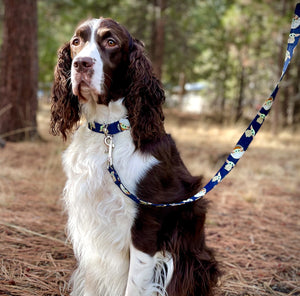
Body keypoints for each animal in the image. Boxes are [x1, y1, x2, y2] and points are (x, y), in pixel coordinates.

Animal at [50, 17, 219, 294]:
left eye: (111, 42)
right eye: (76, 42)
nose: (81, 63)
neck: (108, 131)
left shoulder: (145, 227)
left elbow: (134, 284)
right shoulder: (88, 220)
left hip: (187, 259)